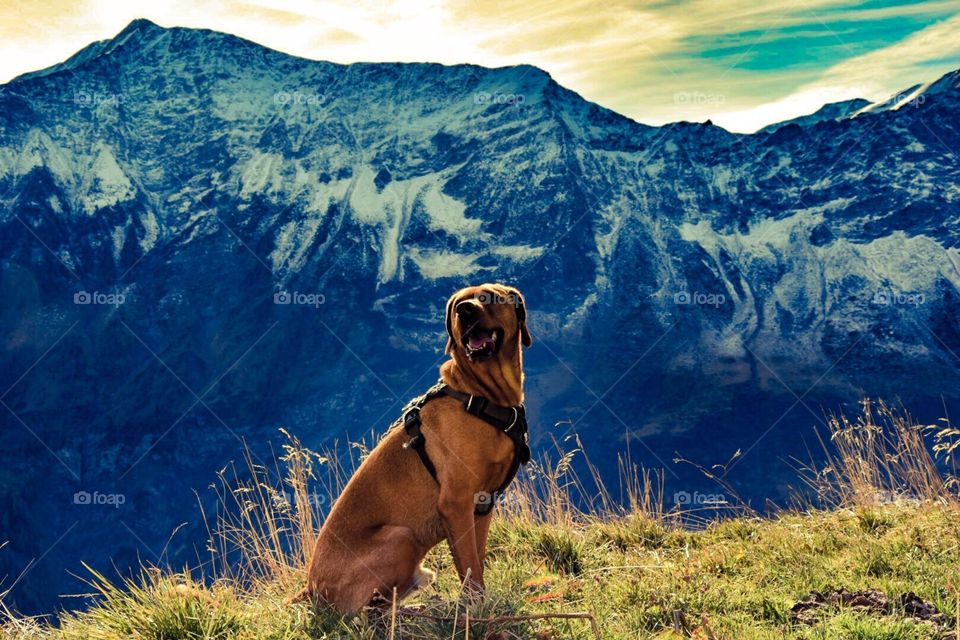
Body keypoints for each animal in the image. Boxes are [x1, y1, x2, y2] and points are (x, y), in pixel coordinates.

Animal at [300, 282, 532, 612]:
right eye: (459, 303)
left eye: (489, 297)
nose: (465, 311)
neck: (481, 397)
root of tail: (310, 589)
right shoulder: (455, 503)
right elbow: (469, 566)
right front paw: (476, 608)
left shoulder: (482, 505)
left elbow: (476, 559)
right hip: (401, 537)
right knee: (369, 612)